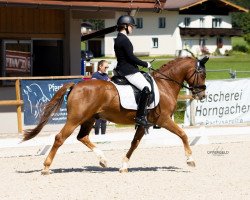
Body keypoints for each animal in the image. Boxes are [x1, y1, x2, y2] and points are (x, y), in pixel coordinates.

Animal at [23, 55, 208, 174]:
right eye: (202, 74)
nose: (202, 95)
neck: (164, 85)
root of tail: (76, 85)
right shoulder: (163, 119)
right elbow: (183, 134)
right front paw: (190, 160)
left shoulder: (144, 123)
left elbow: (134, 143)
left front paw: (124, 166)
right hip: (75, 119)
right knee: (60, 138)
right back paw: (46, 167)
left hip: (89, 119)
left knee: (82, 137)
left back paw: (103, 159)